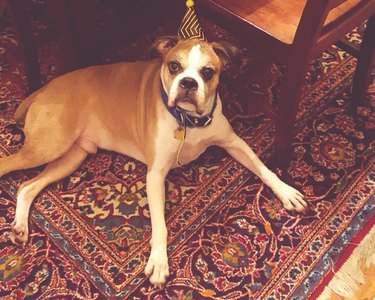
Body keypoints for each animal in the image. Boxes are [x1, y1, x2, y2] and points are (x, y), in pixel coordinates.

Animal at [2, 36, 306, 288]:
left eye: (208, 72)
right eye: (174, 66)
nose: (188, 82)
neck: (188, 122)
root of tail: (45, 88)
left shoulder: (235, 143)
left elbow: (263, 169)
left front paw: (286, 191)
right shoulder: (156, 175)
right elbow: (160, 224)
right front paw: (159, 262)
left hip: (70, 155)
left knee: (27, 187)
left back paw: (20, 227)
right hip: (47, 146)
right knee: (9, 167)